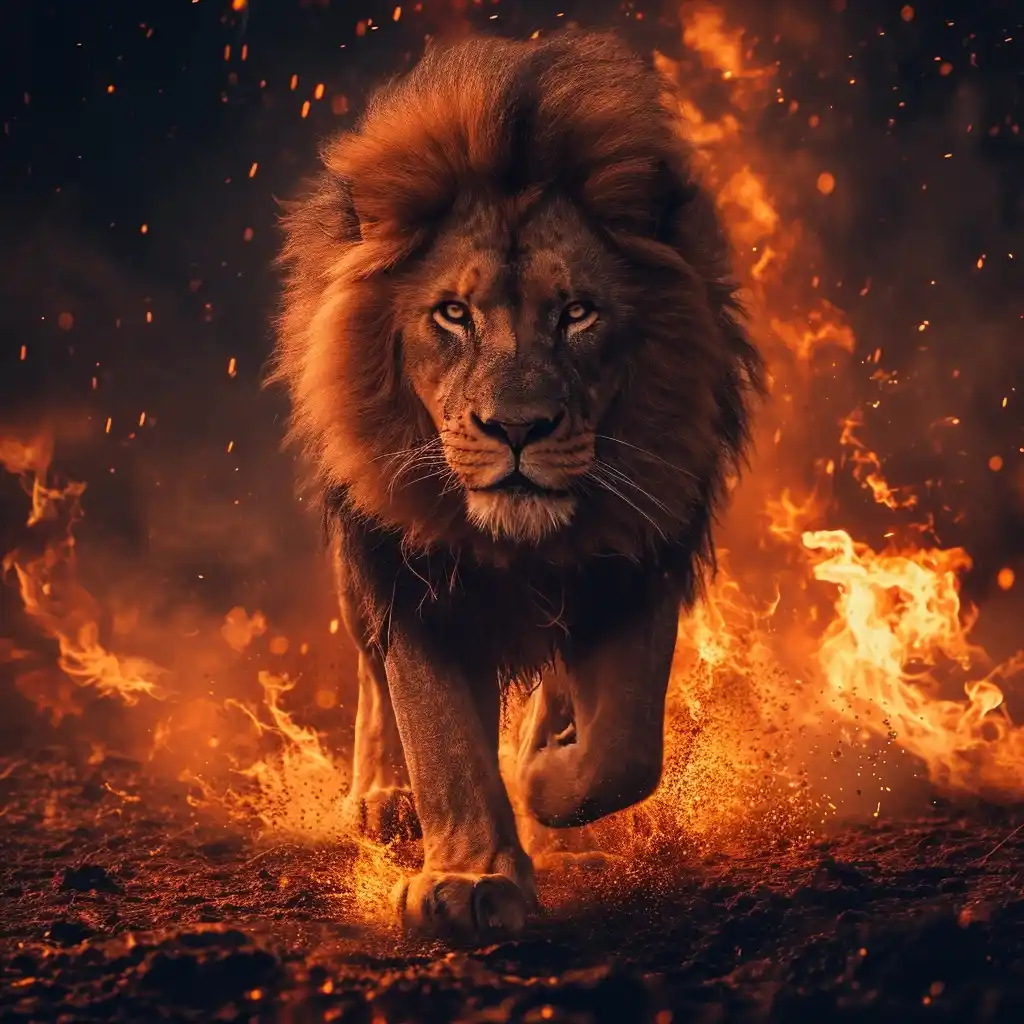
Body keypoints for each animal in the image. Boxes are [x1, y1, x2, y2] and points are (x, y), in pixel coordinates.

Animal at [270, 30, 764, 942]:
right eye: (453, 315)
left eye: (577, 313)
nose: (517, 428)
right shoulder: (414, 574)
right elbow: (445, 742)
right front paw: (470, 879)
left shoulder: (638, 553)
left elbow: (623, 750)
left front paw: (544, 777)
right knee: (370, 670)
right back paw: (385, 799)